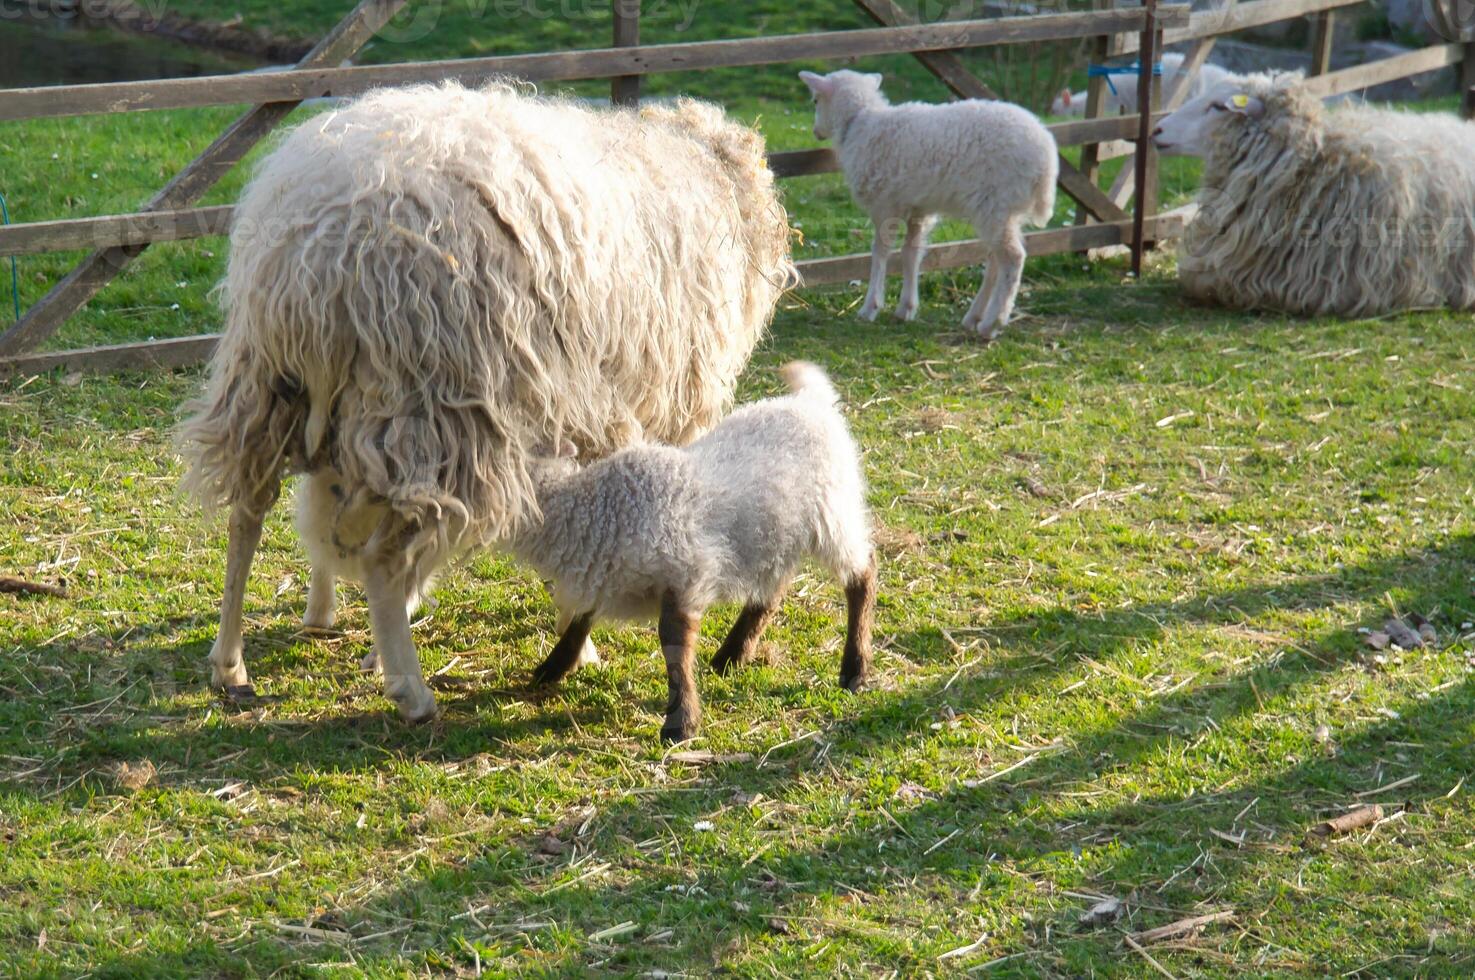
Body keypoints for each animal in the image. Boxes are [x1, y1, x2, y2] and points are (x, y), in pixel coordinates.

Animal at [179, 80, 802, 720]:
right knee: (381, 554)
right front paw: (576, 643)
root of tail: (321, 252)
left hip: (270, 387)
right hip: (442, 404)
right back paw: (411, 691)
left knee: (250, 513)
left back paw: (230, 662)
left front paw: (330, 612)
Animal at [510, 360, 873, 743]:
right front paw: (553, 666)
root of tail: (810, 402)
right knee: (772, 591)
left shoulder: (687, 573)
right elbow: (581, 619)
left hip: (833, 513)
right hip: (774, 532)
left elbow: (673, 643)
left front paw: (681, 721)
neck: (600, 505)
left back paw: (854, 668)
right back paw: (731, 654)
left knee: (862, 576)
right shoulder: (603, 570)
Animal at [802, 67, 1056, 339]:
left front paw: (870, 307)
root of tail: (1047, 162)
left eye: (815, 101)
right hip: (1004, 211)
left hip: (996, 202)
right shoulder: (918, 209)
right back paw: (975, 317)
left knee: (1013, 258)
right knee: (996, 260)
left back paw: (992, 324)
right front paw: (906, 308)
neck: (860, 122)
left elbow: (880, 252)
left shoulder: (885, 205)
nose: (815, 131)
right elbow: (911, 252)